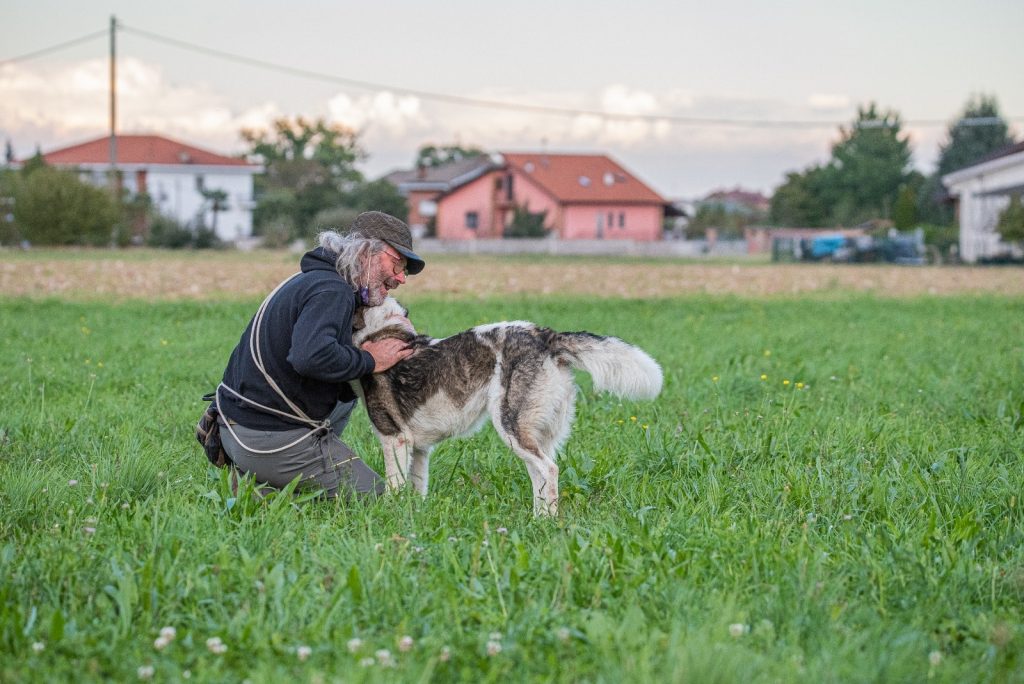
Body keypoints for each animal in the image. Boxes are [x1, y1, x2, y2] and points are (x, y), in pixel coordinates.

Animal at [352, 296, 663, 516]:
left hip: (510, 425)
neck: (379, 330)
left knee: (549, 470)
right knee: (541, 475)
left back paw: (546, 523)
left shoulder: (394, 438)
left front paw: (389, 518)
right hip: (534, 434)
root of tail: (546, 336)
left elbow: (394, 487)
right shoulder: (419, 448)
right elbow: (417, 489)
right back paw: (538, 520)